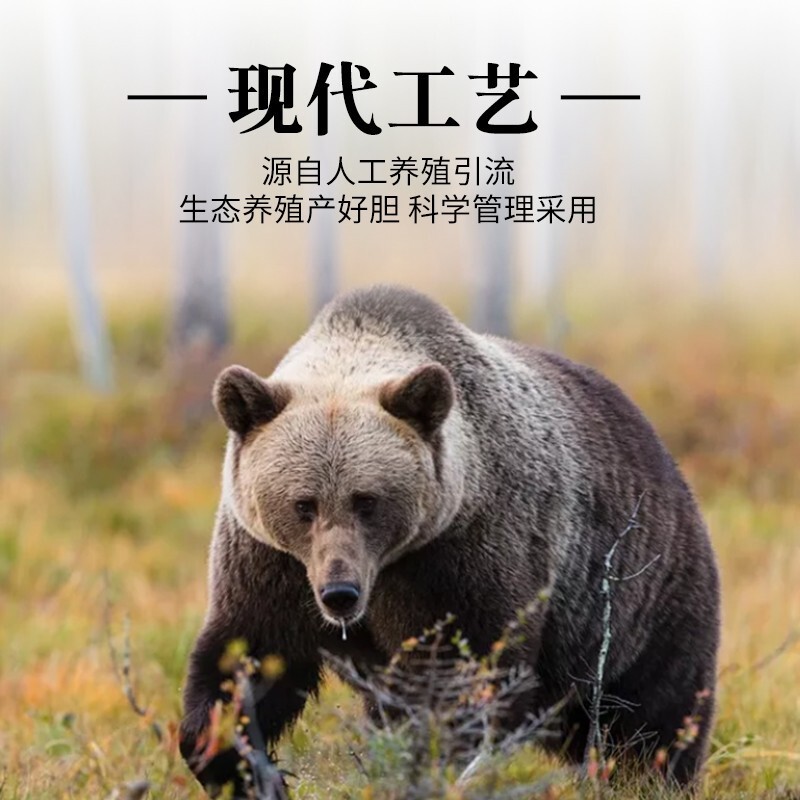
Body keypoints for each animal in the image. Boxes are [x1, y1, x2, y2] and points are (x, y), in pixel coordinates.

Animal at [180, 285, 720, 797]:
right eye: (304, 504)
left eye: (366, 500)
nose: (340, 593)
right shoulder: (271, 564)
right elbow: (246, 660)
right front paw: (241, 766)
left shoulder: (465, 555)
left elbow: (463, 677)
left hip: (636, 597)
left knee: (652, 715)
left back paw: (655, 776)